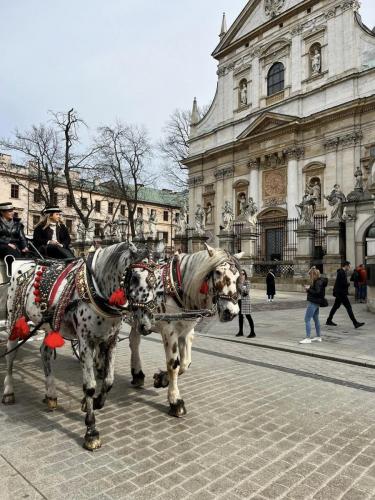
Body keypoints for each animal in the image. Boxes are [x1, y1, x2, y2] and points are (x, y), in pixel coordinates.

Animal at [2, 241, 147, 450]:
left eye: (155, 278)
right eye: (134, 277)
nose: (145, 323)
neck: (96, 290)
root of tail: (25, 265)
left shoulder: (109, 341)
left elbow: (108, 380)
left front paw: (95, 403)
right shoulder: (85, 342)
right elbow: (90, 385)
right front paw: (91, 431)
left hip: (49, 325)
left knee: (45, 352)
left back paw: (51, 395)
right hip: (15, 321)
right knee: (10, 357)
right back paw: (8, 392)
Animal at [128, 244, 242, 416]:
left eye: (237, 276)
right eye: (217, 272)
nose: (232, 312)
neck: (177, 287)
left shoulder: (187, 332)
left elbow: (185, 363)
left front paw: (162, 379)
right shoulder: (169, 332)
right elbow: (173, 365)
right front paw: (175, 401)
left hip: (138, 321)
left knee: (134, 342)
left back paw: (137, 375)